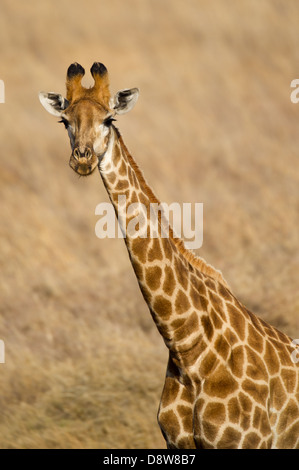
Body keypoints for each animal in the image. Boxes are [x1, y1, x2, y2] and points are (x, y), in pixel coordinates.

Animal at [39, 61, 299, 448]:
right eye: (64, 120)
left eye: (109, 119)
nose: (82, 160)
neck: (188, 348)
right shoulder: (174, 442)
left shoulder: (245, 443)